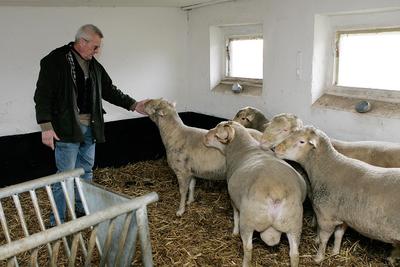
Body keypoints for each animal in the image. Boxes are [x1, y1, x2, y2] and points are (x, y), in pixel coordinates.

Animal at [203, 121, 306, 267]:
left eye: (217, 135)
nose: (205, 137)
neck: (242, 147)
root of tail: (276, 192)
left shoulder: (234, 201)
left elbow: (235, 217)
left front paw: (234, 233)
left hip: (249, 220)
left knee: (248, 248)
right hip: (294, 223)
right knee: (294, 254)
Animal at [276, 126, 400, 264]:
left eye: (302, 141)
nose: (276, 149)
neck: (326, 167)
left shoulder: (326, 216)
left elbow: (324, 238)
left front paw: (319, 257)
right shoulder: (343, 216)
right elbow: (338, 235)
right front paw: (335, 252)